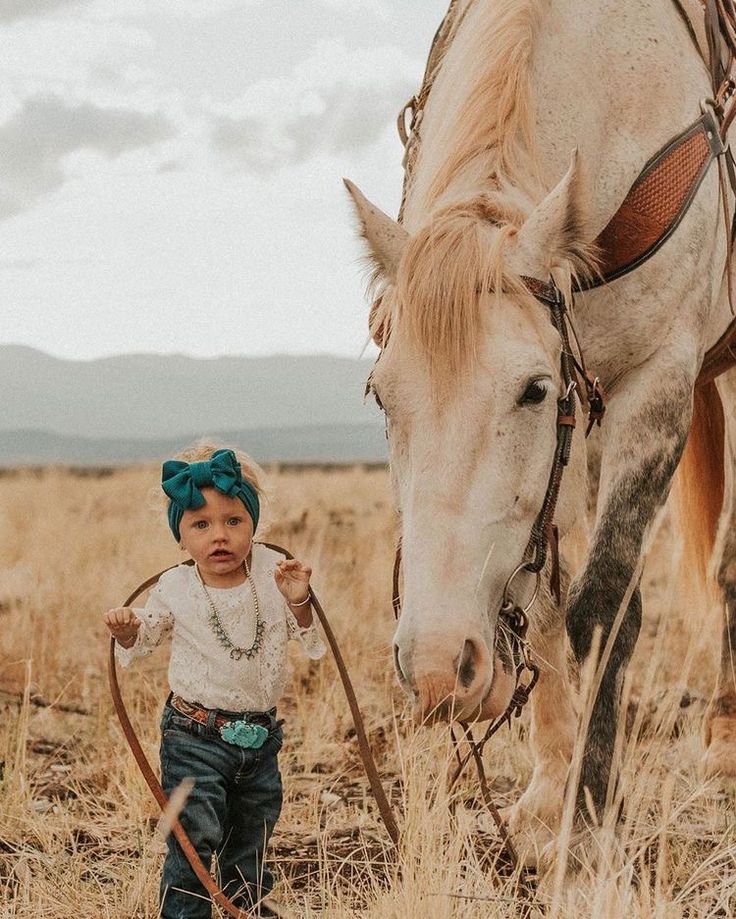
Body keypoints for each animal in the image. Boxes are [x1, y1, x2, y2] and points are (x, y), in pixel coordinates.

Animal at [346, 0, 736, 864]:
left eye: (531, 390)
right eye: (383, 399)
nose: (437, 665)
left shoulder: (653, 383)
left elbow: (602, 603)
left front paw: (588, 812)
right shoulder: (576, 419)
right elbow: (553, 605)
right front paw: (544, 797)